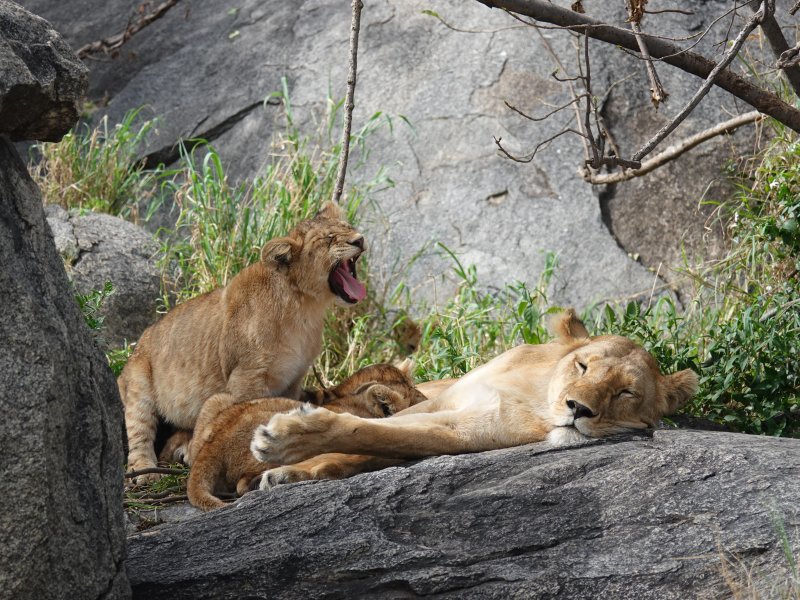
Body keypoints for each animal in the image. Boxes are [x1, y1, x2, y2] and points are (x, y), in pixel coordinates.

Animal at [118, 202, 367, 483]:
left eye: (348, 227)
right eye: (329, 239)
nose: (359, 239)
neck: (305, 307)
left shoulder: (293, 378)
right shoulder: (246, 377)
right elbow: (247, 414)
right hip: (138, 383)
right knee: (139, 431)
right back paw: (145, 471)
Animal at [251, 309, 698, 488]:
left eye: (626, 392)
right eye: (583, 366)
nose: (579, 409)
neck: (538, 392)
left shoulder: (465, 431)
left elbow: (371, 434)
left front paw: (284, 439)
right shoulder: (437, 401)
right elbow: (368, 433)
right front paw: (289, 461)